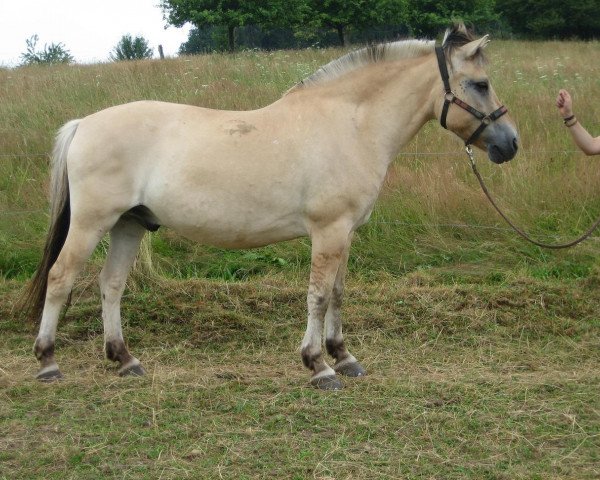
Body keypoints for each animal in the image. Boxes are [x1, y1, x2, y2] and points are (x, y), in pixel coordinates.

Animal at [23, 23, 516, 390]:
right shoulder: (328, 230)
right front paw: (318, 365)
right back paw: (48, 362)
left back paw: (125, 360)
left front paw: (345, 356)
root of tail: (84, 123)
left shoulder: (346, 232)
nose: (510, 144)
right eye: (480, 84)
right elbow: (318, 295)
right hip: (91, 223)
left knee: (111, 285)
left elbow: (338, 292)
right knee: (61, 278)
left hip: (129, 224)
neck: (349, 123)